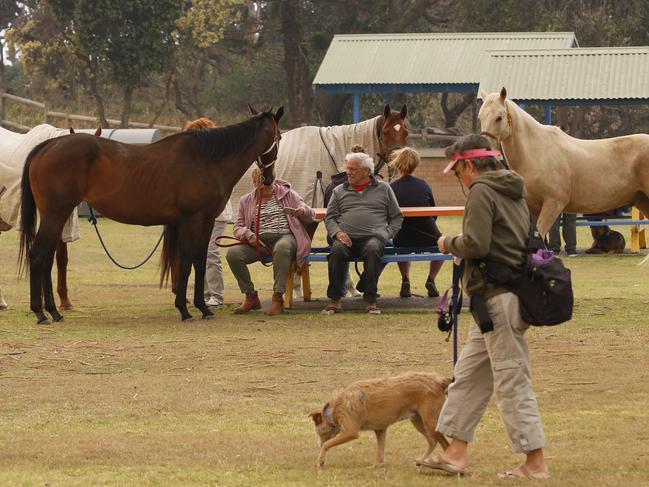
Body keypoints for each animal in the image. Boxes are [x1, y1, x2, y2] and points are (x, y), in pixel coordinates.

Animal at [20, 106, 282, 324]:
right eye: (279, 137)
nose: (269, 179)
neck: (206, 160)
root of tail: (48, 146)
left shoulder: (206, 221)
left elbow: (199, 262)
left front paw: (203, 308)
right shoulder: (192, 220)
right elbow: (186, 261)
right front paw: (184, 310)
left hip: (57, 216)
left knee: (46, 258)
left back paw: (53, 311)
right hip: (55, 214)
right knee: (38, 256)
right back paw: (40, 313)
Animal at [308, 374, 450, 468]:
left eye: (319, 431)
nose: (318, 445)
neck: (334, 409)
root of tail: (439, 382)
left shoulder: (350, 432)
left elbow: (328, 444)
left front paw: (320, 461)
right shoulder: (381, 430)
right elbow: (380, 451)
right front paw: (376, 466)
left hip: (430, 423)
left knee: (445, 445)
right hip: (418, 421)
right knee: (432, 441)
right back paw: (422, 461)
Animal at [476, 89, 648, 240]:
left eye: (499, 117)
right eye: (480, 118)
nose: (486, 147)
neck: (538, 153)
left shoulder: (553, 204)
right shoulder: (533, 208)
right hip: (642, 200)